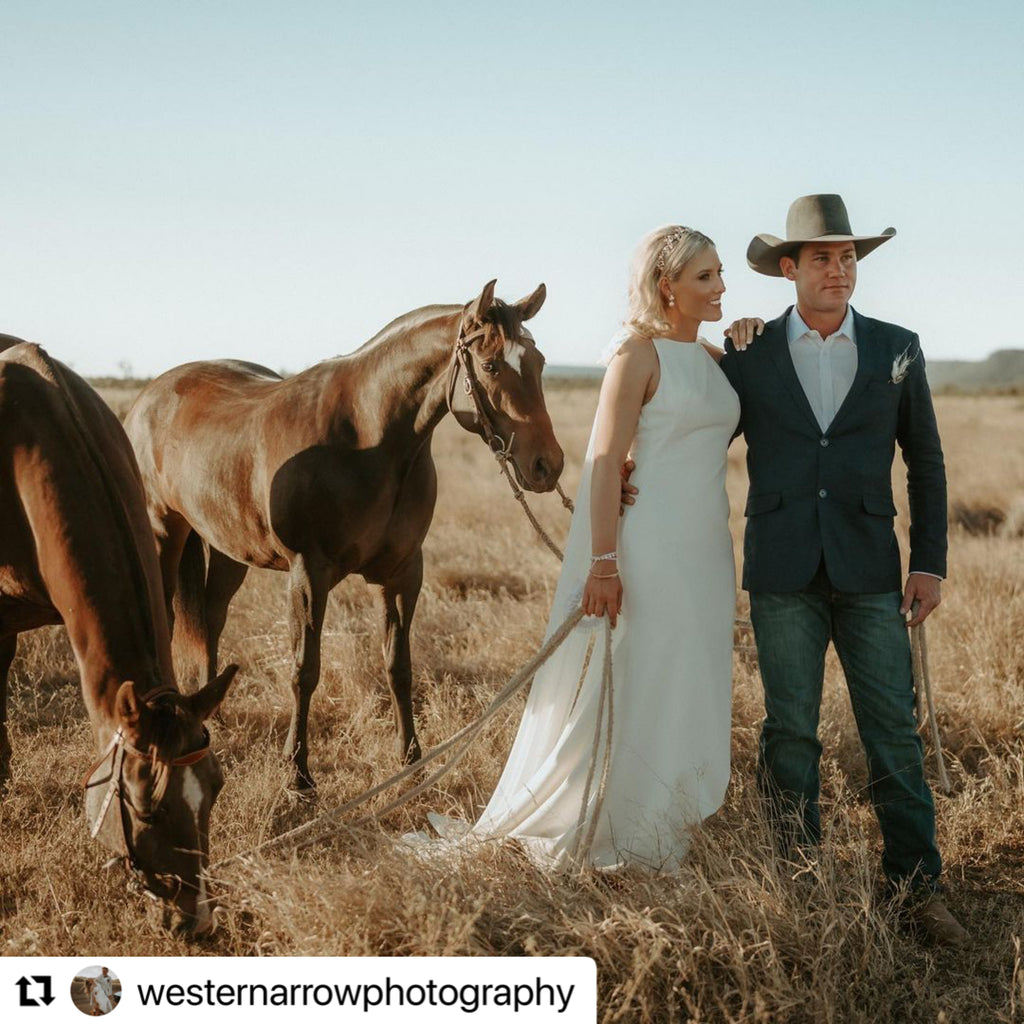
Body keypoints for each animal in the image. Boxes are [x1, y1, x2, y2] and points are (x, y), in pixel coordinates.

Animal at [123, 280, 565, 790]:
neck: (370, 438)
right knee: (168, 618)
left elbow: (399, 666)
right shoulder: (308, 575)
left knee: (211, 619)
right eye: (491, 365)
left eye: (539, 362)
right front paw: (298, 774)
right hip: (163, 535)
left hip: (230, 547)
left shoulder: (402, 573)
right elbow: (305, 670)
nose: (547, 465)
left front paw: (410, 758)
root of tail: (148, 396)